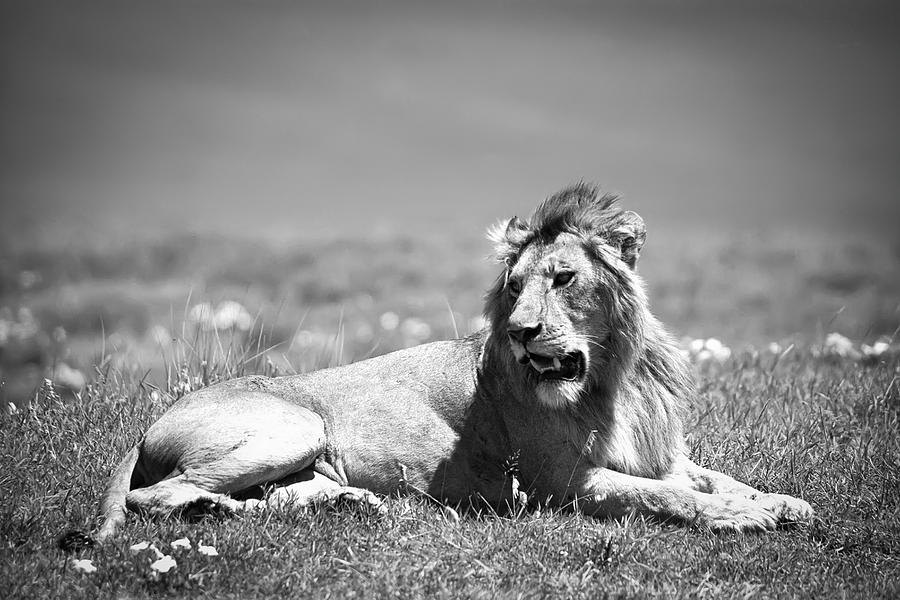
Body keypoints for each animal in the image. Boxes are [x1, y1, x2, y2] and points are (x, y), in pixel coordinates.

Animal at [72, 182, 816, 544]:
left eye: (563, 279)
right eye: (513, 287)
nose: (519, 333)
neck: (614, 378)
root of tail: (148, 424)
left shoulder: (663, 454)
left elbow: (716, 477)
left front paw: (782, 503)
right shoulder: (558, 482)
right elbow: (664, 495)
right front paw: (739, 519)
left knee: (275, 498)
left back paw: (350, 504)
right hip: (295, 425)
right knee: (151, 497)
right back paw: (212, 513)